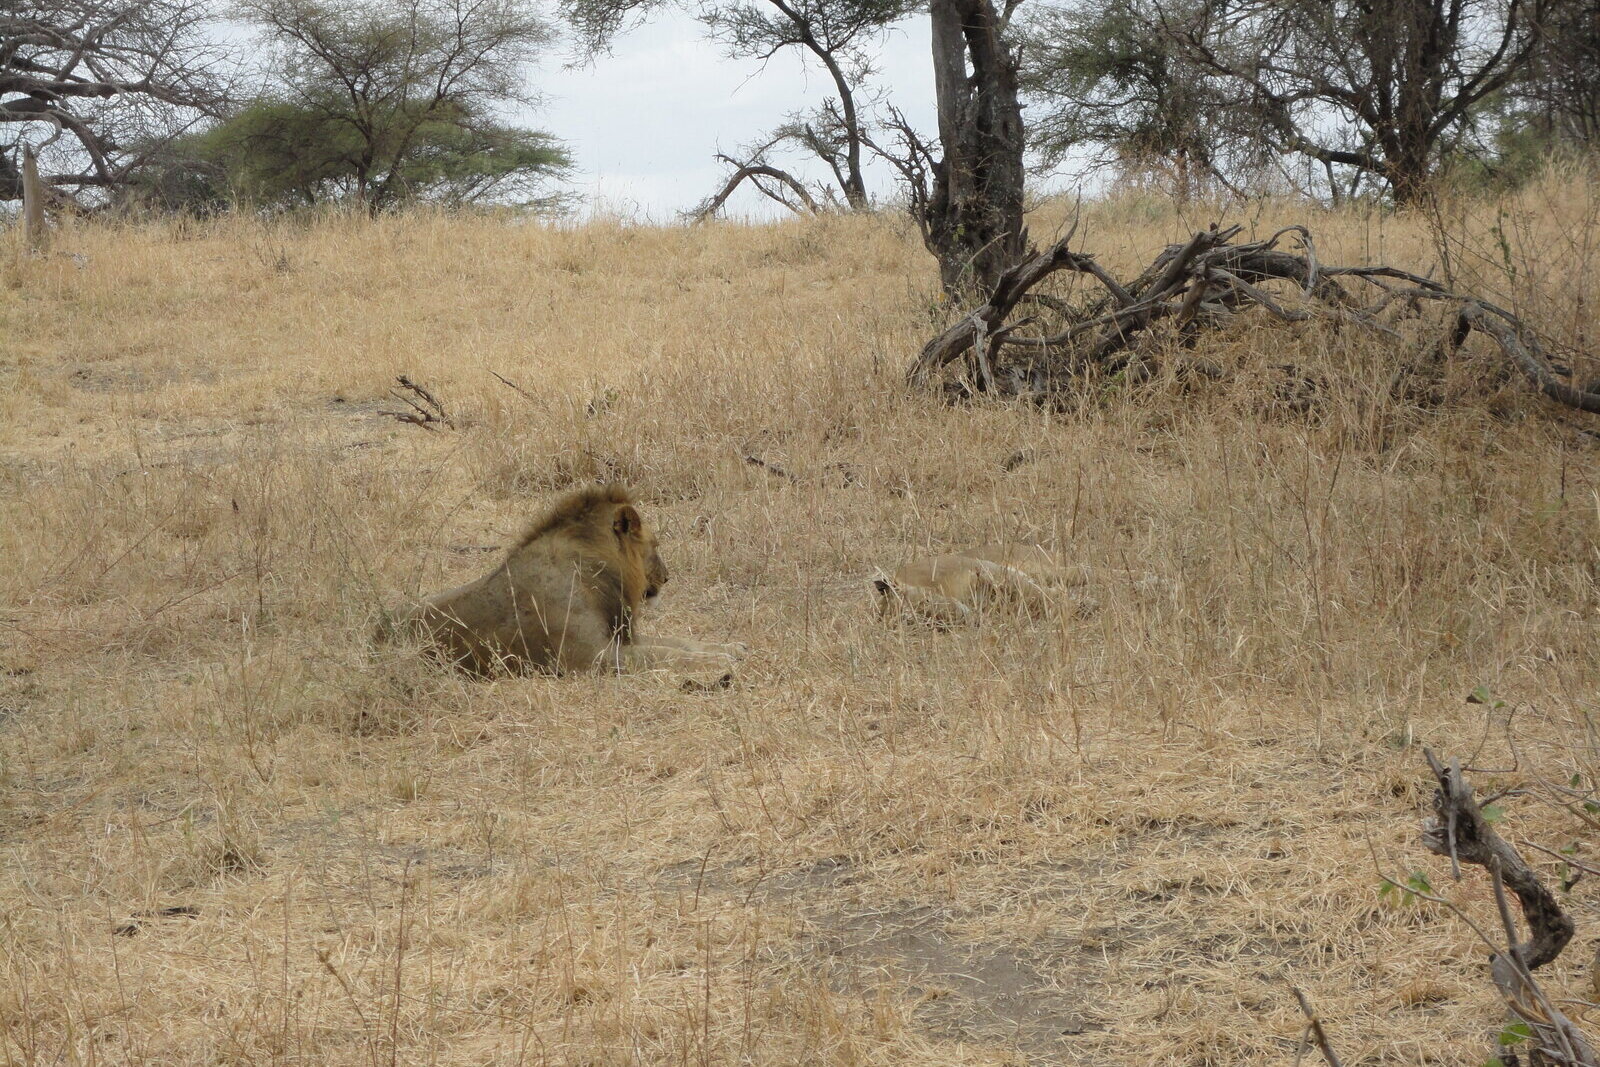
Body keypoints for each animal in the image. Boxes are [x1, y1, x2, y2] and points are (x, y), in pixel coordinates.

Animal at [376, 485, 746, 680]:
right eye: (654, 546)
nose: (667, 577)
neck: (596, 571)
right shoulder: (592, 657)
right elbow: (663, 655)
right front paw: (719, 664)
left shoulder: (621, 638)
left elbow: (680, 643)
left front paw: (731, 648)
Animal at [872, 543, 1095, 625]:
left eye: (922, 605)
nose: (962, 617)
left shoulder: (984, 567)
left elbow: (1039, 594)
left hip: (1039, 566)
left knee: (1086, 571)